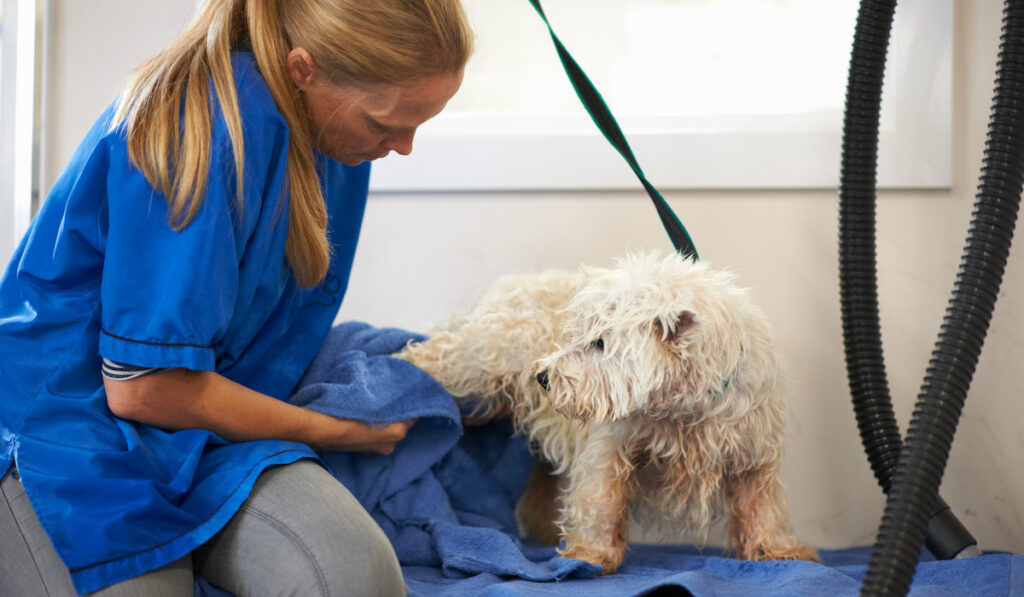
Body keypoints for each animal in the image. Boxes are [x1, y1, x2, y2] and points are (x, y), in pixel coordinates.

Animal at [395, 251, 819, 573]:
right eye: (576, 334)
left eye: (600, 343)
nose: (542, 377)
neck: (684, 407)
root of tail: (501, 287)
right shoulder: (609, 445)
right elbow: (599, 501)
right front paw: (590, 555)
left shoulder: (754, 453)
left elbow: (764, 506)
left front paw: (779, 550)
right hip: (483, 354)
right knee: (437, 353)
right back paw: (393, 367)